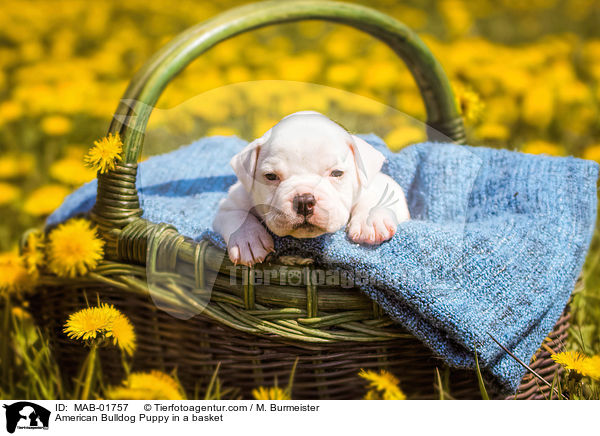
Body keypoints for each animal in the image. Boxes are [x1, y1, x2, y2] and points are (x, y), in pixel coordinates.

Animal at [213, 110, 410, 266]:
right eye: (271, 176)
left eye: (337, 173)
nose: (304, 201)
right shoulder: (231, 203)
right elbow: (237, 215)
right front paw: (247, 240)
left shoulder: (381, 184)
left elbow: (377, 197)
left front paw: (370, 222)